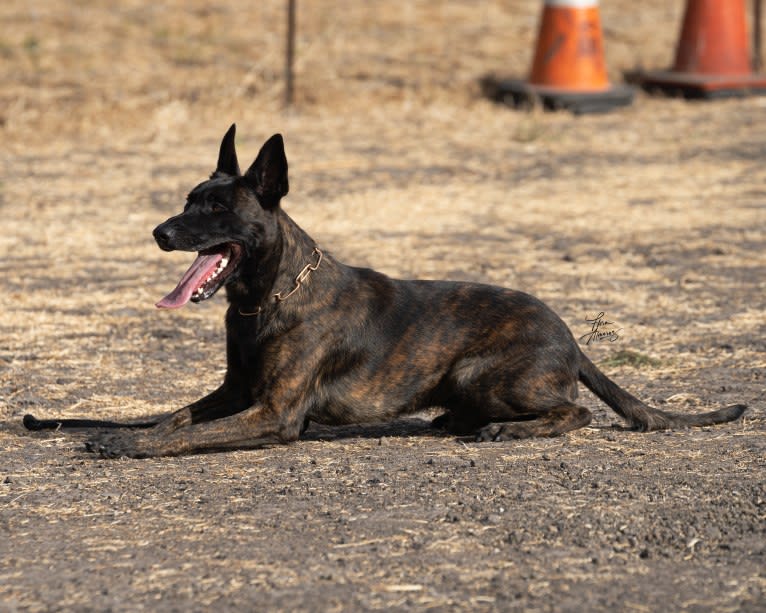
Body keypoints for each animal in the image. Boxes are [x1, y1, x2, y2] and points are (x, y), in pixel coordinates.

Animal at [25, 125, 752, 460]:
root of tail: (571, 338)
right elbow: (174, 417)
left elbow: (185, 435)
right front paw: (116, 426)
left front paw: (124, 446)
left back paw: (505, 429)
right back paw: (454, 421)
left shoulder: (273, 414)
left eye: (216, 210)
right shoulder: (235, 392)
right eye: (186, 200)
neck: (269, 298)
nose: (159, 232)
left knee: (575, 412)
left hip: (483, 371)